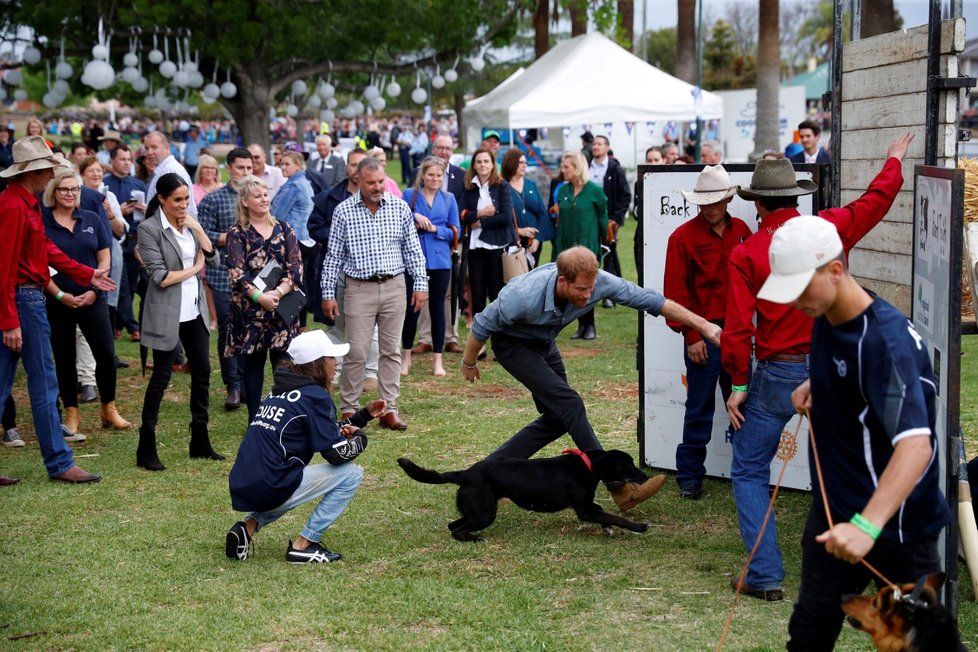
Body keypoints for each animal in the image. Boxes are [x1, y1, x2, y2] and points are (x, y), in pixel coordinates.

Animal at [392, 448, 652, 540]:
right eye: (628, 466)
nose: (646, 476)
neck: (588, 465)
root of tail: (464, 474)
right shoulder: (584, 510)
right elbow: (614, 516)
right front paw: (638, 527)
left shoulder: (587, 506)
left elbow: (604, 512)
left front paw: (608, 529)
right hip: (484, 514)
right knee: (457, 530)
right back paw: (474, 539)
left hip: (476, 510)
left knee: (452, 525)